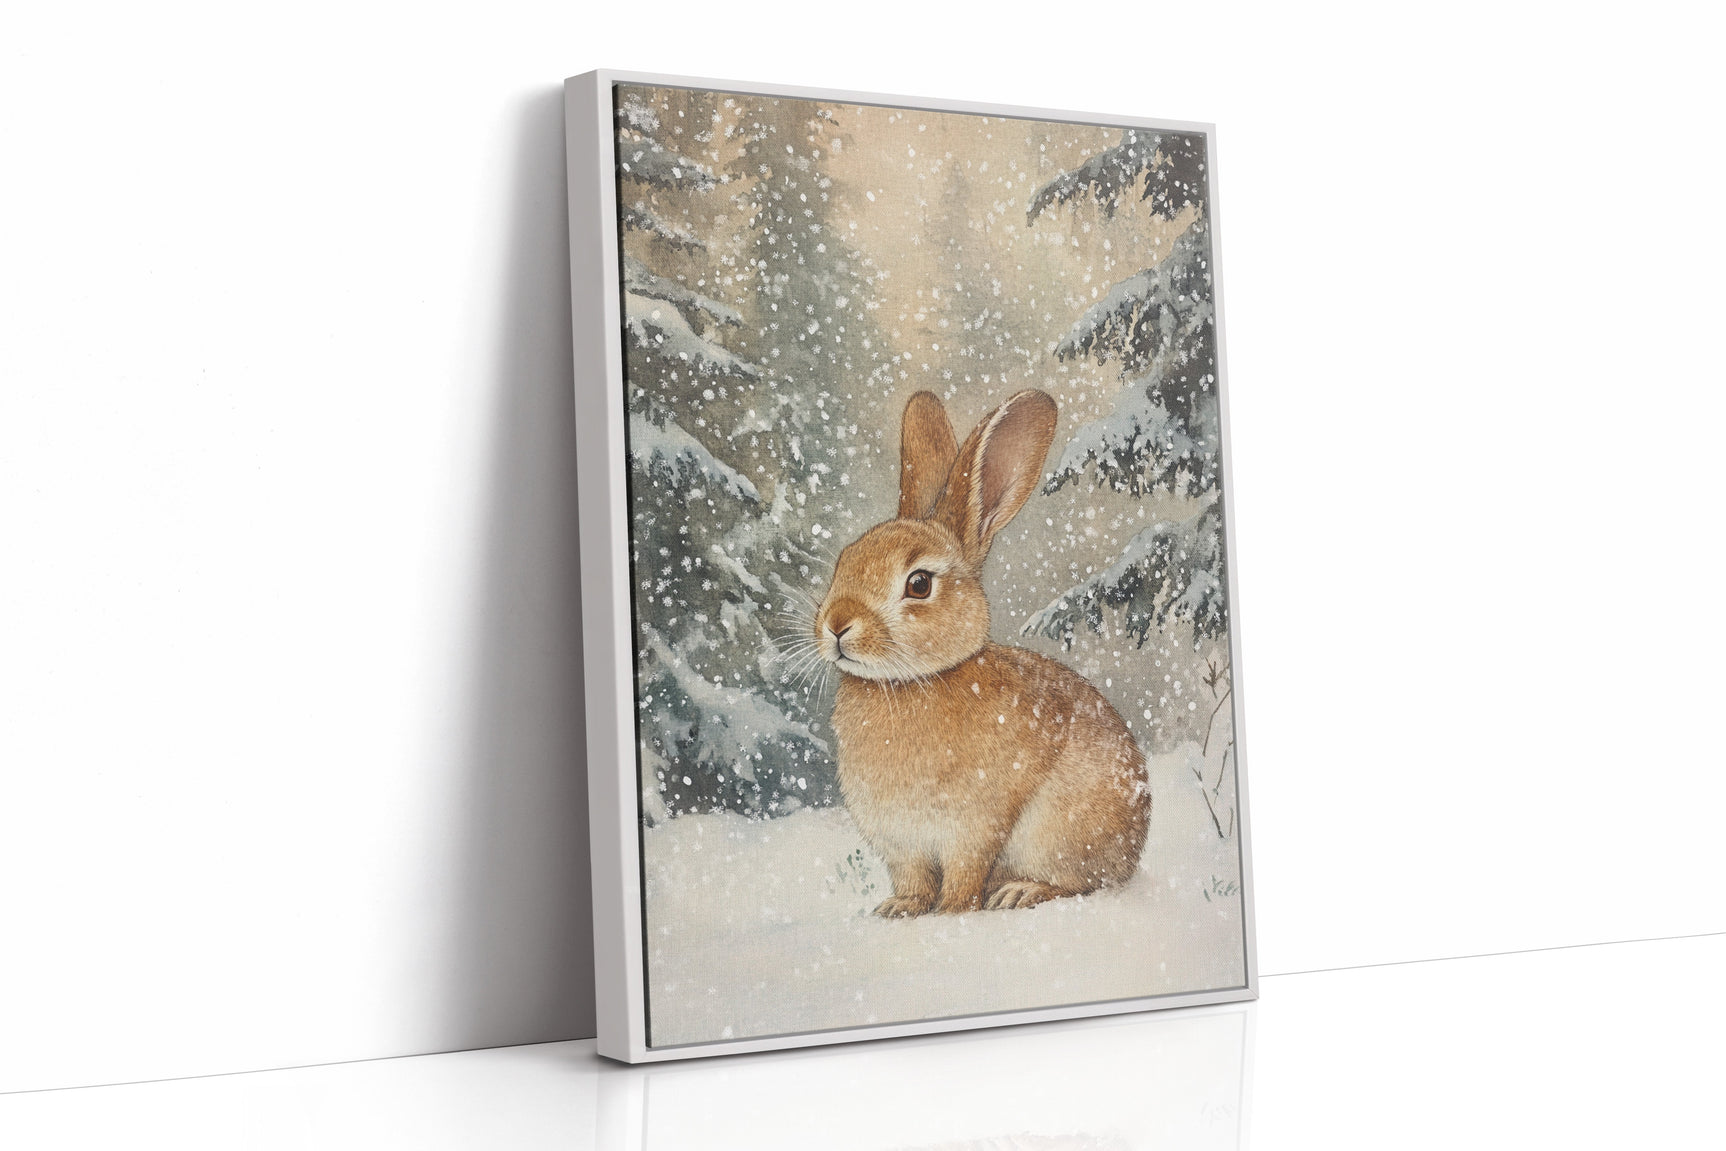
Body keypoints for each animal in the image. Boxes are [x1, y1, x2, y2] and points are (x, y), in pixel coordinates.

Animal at [814, 389, 1150, 916]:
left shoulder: (974, 826)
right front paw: (899, 909)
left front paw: (952, 911)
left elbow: (964, 874)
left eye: (919, 584)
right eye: (845, 560)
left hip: (1063, 835)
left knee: (1081, 882)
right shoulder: (901, 843)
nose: (836, 624)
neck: (912, 682)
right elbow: (912, 879)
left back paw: (1021, 892)